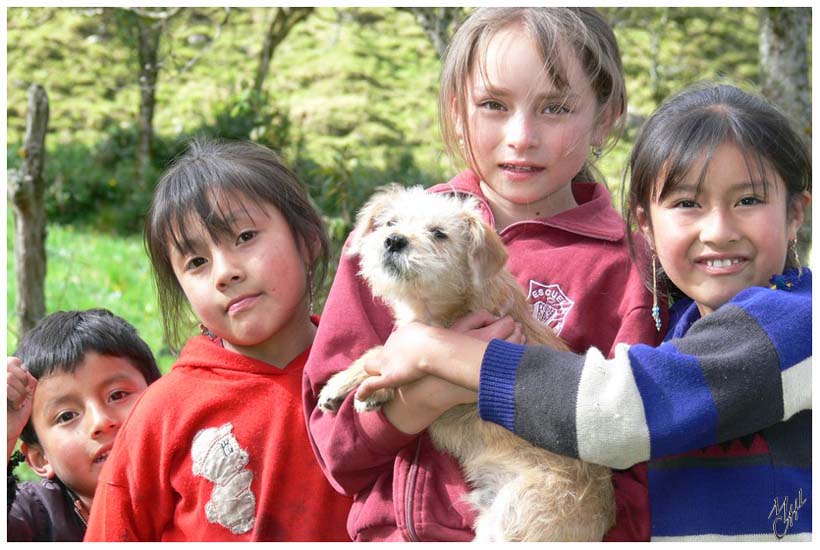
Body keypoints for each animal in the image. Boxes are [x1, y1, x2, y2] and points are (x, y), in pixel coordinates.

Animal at [318, 187, 612, 544]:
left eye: (439, 234)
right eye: (390, 223)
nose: (394, 240)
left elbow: (398, 358)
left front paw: (377, 388)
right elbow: (378, 349)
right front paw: (338, 385)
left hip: (514, 519)